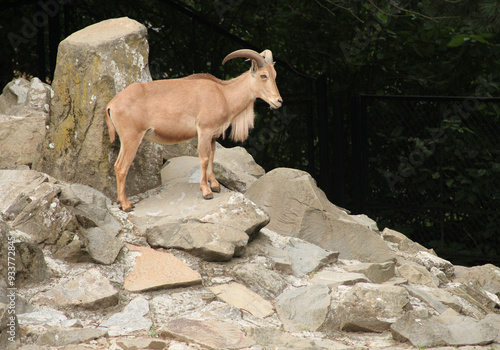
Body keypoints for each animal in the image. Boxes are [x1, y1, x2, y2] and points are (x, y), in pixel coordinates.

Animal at [103, 47, 284, 209]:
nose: (279, 101)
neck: (224, 95)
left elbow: (212, 156)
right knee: (121, 167)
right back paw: (126, 204)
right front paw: (206, 191)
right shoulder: (204, 130)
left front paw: (215, 185)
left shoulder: (212, 135)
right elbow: (204, 158)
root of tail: (112, 105)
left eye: (275, 75)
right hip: (132, 137)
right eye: (263, 75)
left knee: (118, 166)